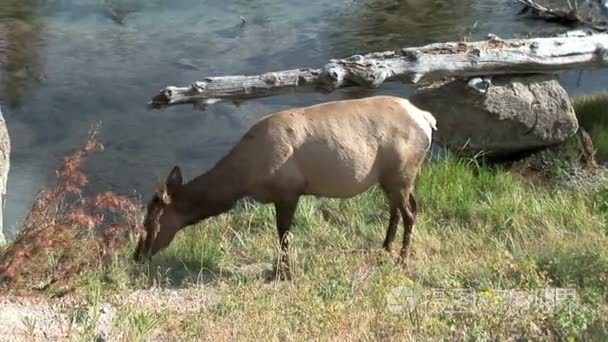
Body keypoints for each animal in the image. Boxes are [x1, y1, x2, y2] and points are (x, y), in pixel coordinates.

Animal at [134, 95, 436, 280]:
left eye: (150, 224)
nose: (137, 256)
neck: (244, 178)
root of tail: (427, 119)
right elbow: (282, 234)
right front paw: (280, 270)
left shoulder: (288, 190)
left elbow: (283, 235)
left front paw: (283, 273)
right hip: (394, 177)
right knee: (401, 209)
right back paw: (384, 249)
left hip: (401, 172)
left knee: (409, 213)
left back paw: (402, 260)